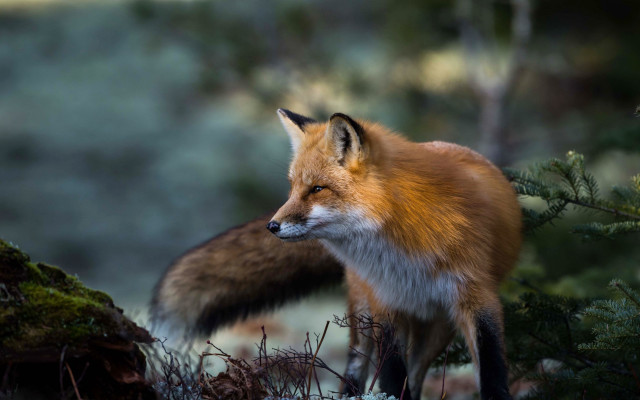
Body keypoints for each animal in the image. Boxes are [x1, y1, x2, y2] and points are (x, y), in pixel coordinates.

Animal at [151, 109, 522, 400]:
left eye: (317, 189)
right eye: (292, 188)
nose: (272, 226)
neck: (406, 248)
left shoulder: (477, 296)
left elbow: (490, 369)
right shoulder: (386, 304)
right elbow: (392, 376)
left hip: (438, 326)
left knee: (417, 374)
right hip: (365, 313)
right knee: (357, 368)